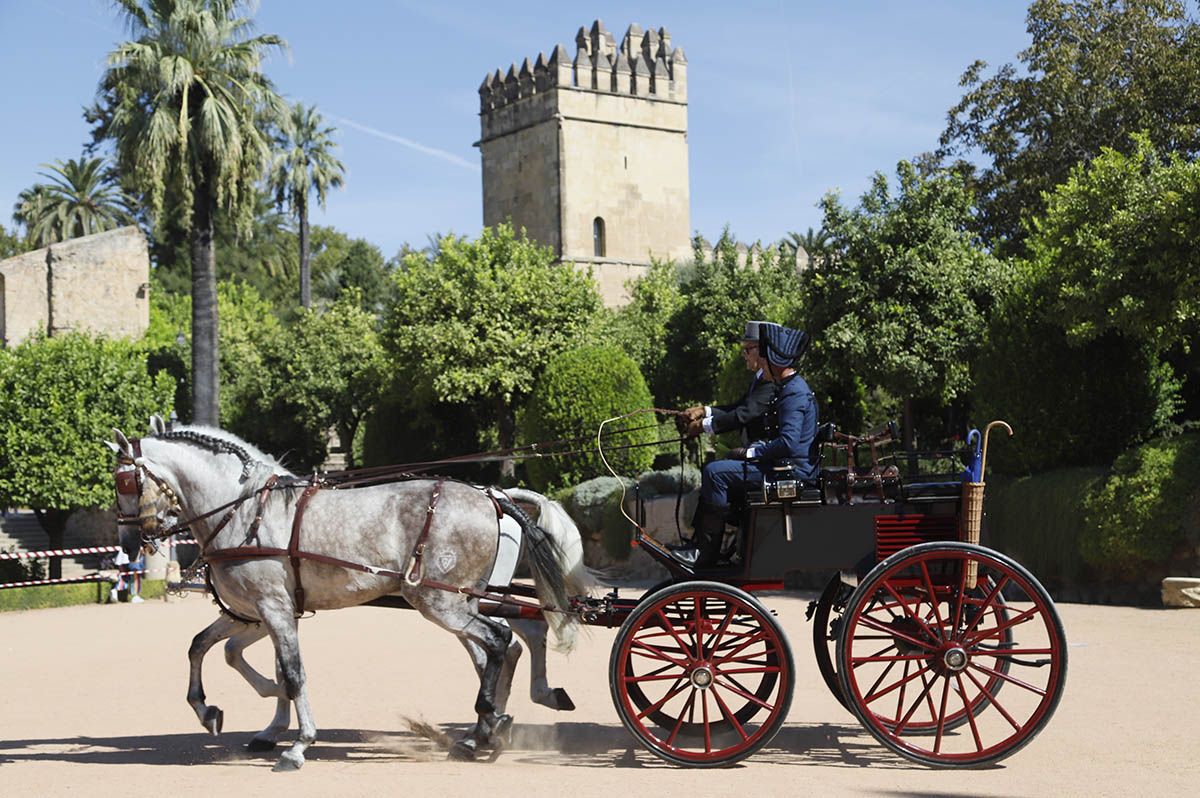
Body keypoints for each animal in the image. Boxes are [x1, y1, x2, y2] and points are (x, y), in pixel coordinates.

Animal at [111, 420, 580, 768]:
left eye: (124, 482)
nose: (131, 543)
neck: (243, 510)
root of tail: (492, 497)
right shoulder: (255, 612)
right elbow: (205, 648)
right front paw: (213, 711)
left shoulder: (273, 609)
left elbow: (292, 672)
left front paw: (299, 743)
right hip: (462, 602)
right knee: (500, 648)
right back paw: (486, 729)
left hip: (443, 603)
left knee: (502, 642)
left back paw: (488, 723)